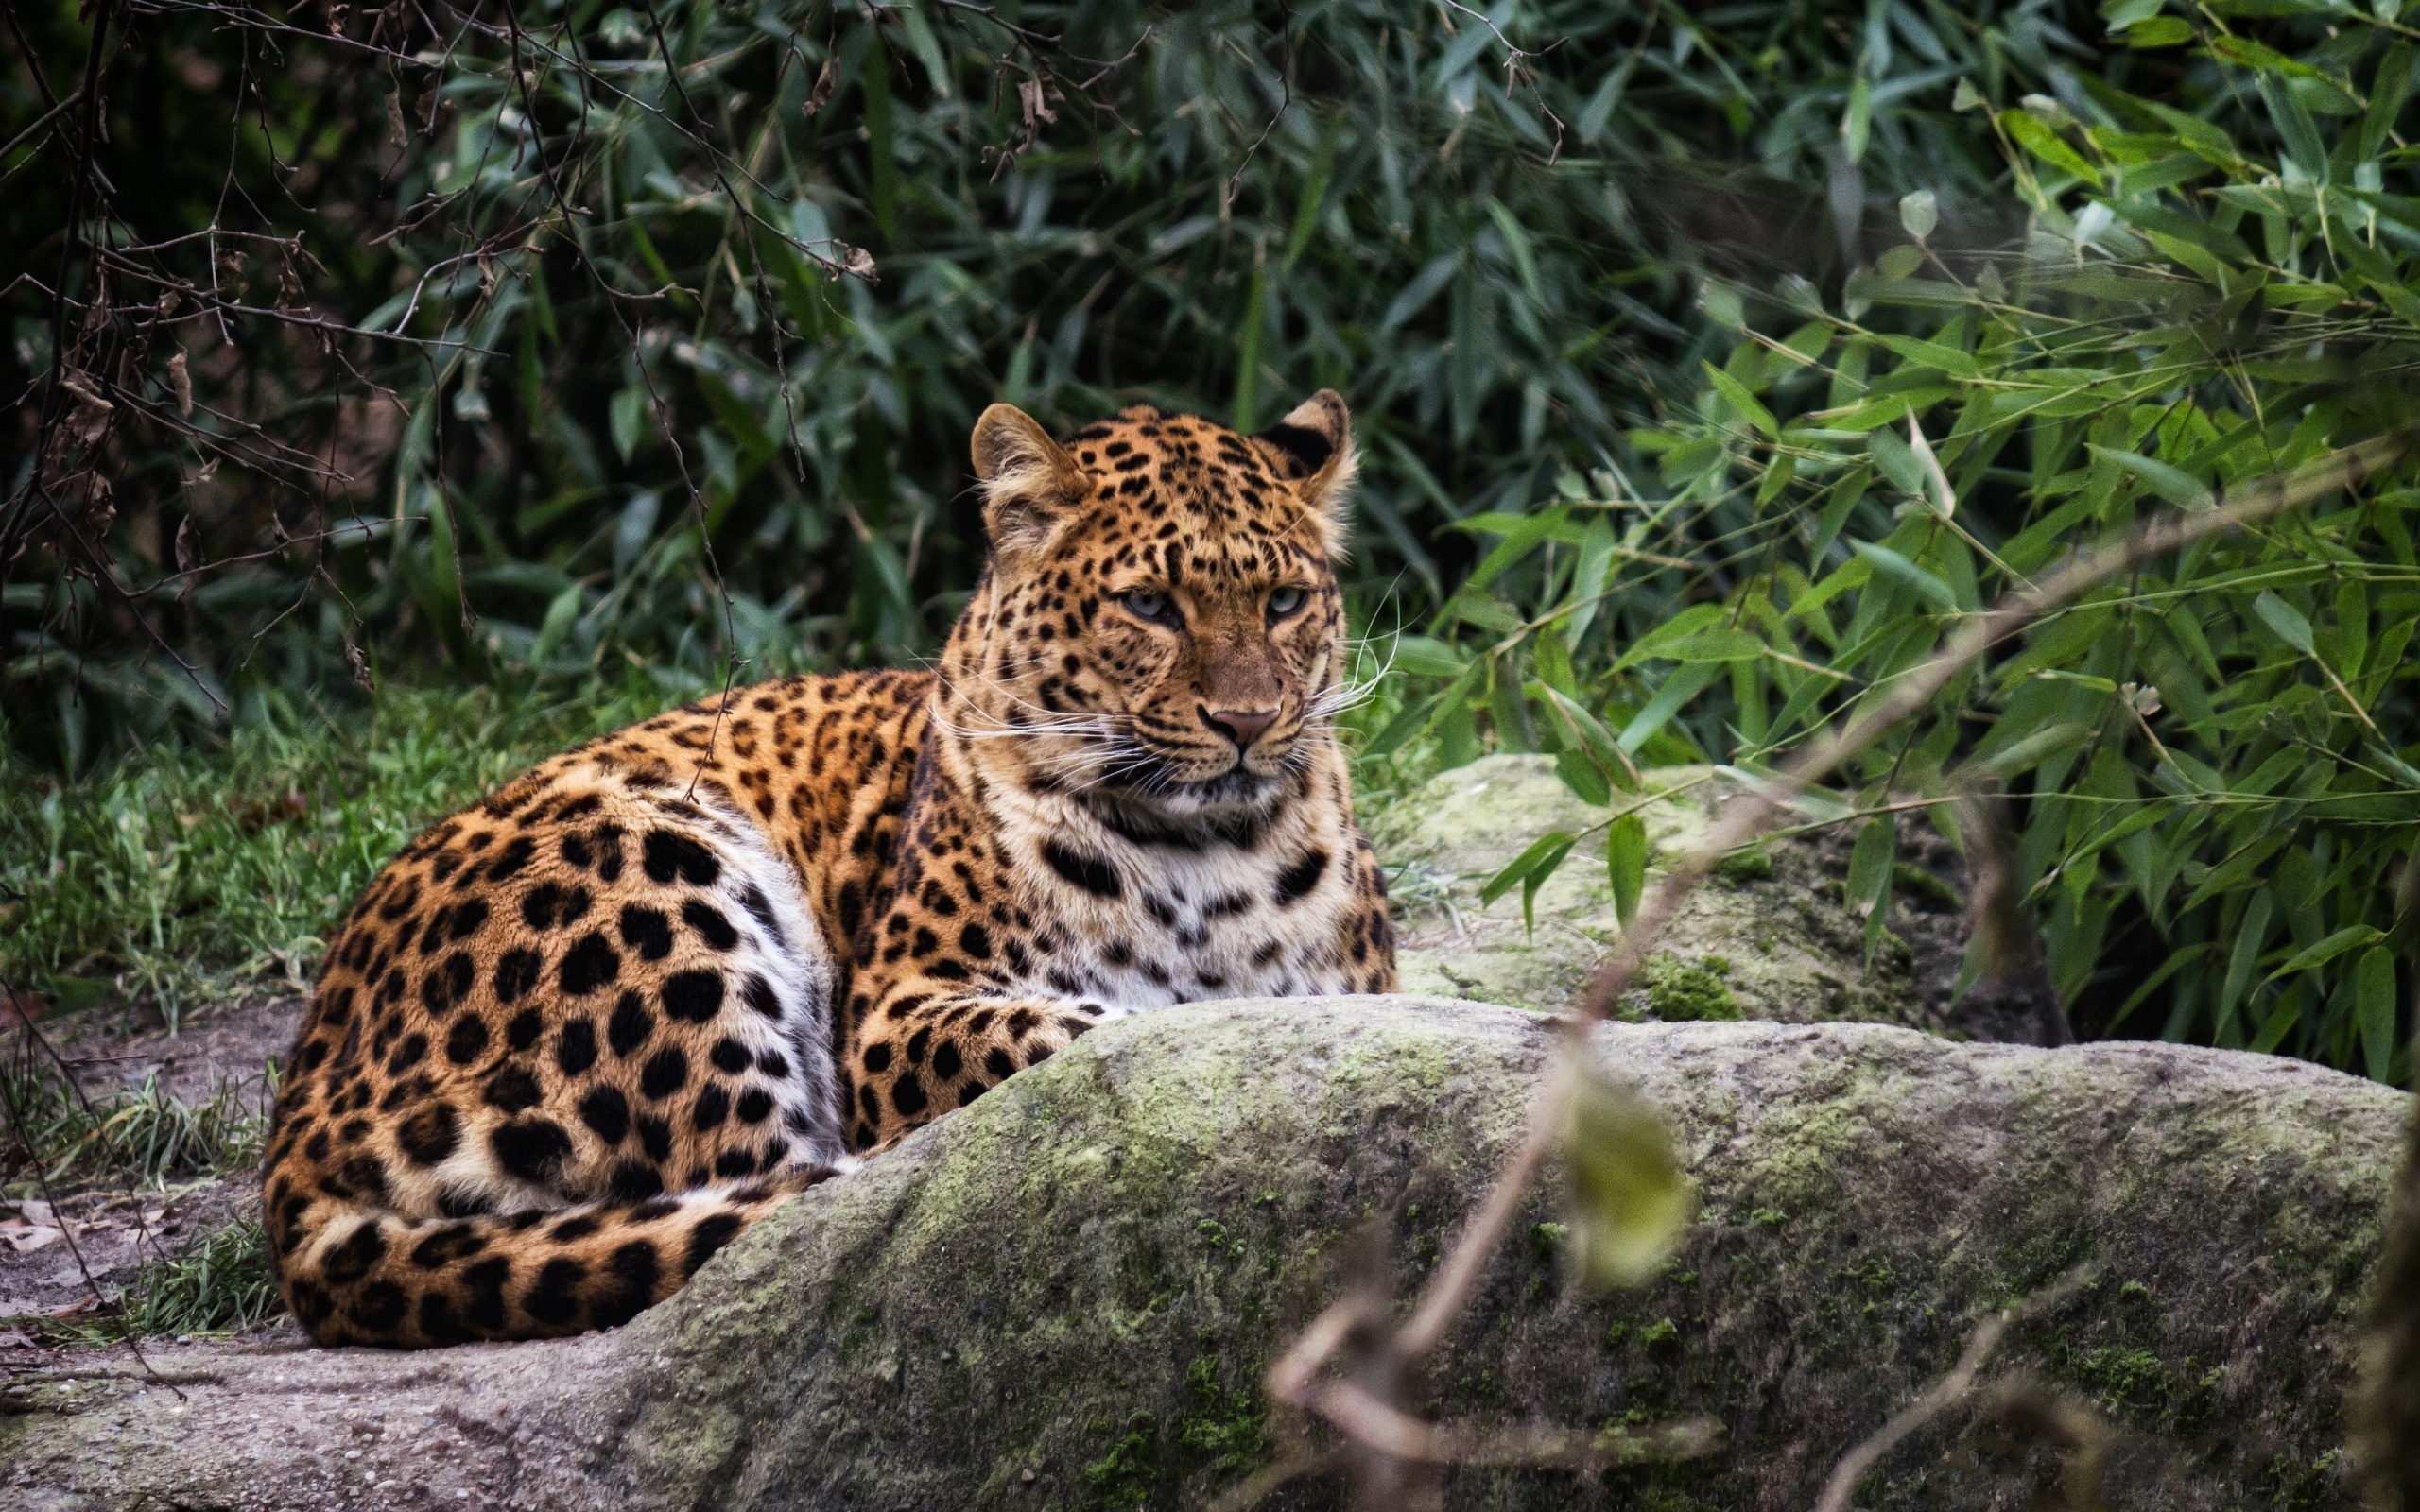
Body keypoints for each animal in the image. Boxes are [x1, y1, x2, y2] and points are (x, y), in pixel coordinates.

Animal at [262, 389, 1403, 1345]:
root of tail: (296, 1117)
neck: (1208, 856)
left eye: (1286, 602)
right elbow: (1082, 1032)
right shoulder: (900, 1012)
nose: (1249, 722)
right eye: (1152, 606)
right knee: (778, 1205)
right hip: (648, 867)